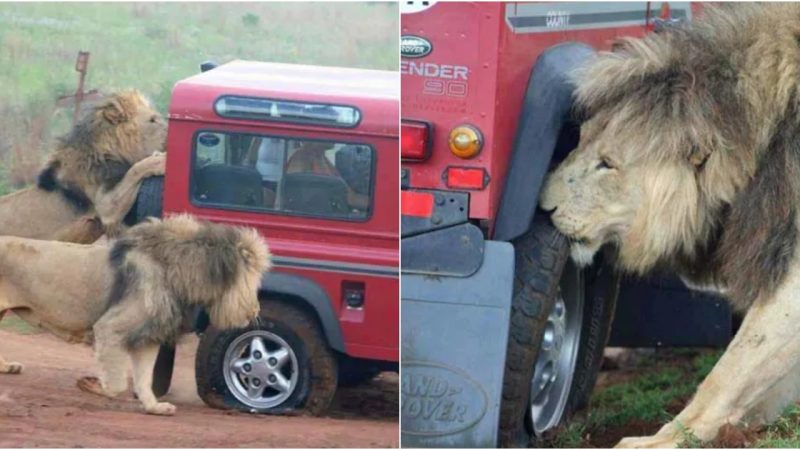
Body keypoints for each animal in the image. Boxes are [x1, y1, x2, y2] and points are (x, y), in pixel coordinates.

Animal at [0, 214, 272, 414]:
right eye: (251, 281)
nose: (256, 310)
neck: (178, 273)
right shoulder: (109, 328)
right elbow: (117, 384)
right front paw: (90, 384)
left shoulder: (148, 337)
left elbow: (144, 378)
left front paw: (154, 407)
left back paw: (7, 367)